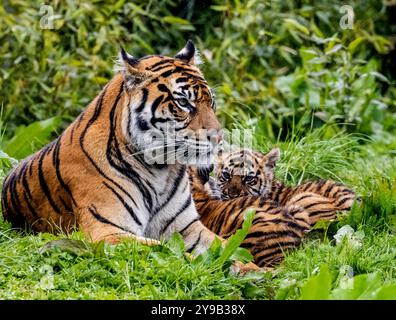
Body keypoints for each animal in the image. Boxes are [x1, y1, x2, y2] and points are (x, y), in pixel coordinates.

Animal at [0, 42, 229, 258]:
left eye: (212, 102)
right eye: (183, 102)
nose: (219, 137)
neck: (160, 170)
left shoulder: (186, 227)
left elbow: (225, 246)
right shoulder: (108, 230)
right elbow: (172, 253)